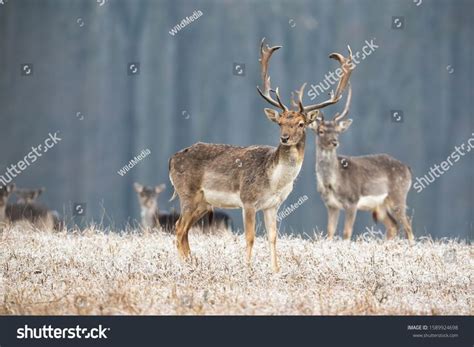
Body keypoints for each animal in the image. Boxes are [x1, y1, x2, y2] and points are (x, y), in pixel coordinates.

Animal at [169, 38, 352, 272]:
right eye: (280, 122)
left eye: (300, 123)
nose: (284, 138)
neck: (274, 181)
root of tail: (172, 159)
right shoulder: (248, 200)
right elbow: (250, 237)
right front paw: (247, 269)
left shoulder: (273, 205)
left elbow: (273, 237)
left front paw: (276, 271)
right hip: (187, 193)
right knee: (178, 228)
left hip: (204, 202)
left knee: (184, 231)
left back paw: (192, 264)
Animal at [308, 84, 414, 242]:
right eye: (320, 131)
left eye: (337, 131)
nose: (334, 142)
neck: (332, 183)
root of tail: (407, 168)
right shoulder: (331, 205)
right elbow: (330, 233)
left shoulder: (352, 201)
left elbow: (346, 233)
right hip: (381, 205)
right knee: (393, 226)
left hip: (398, 195)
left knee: (408, 228)